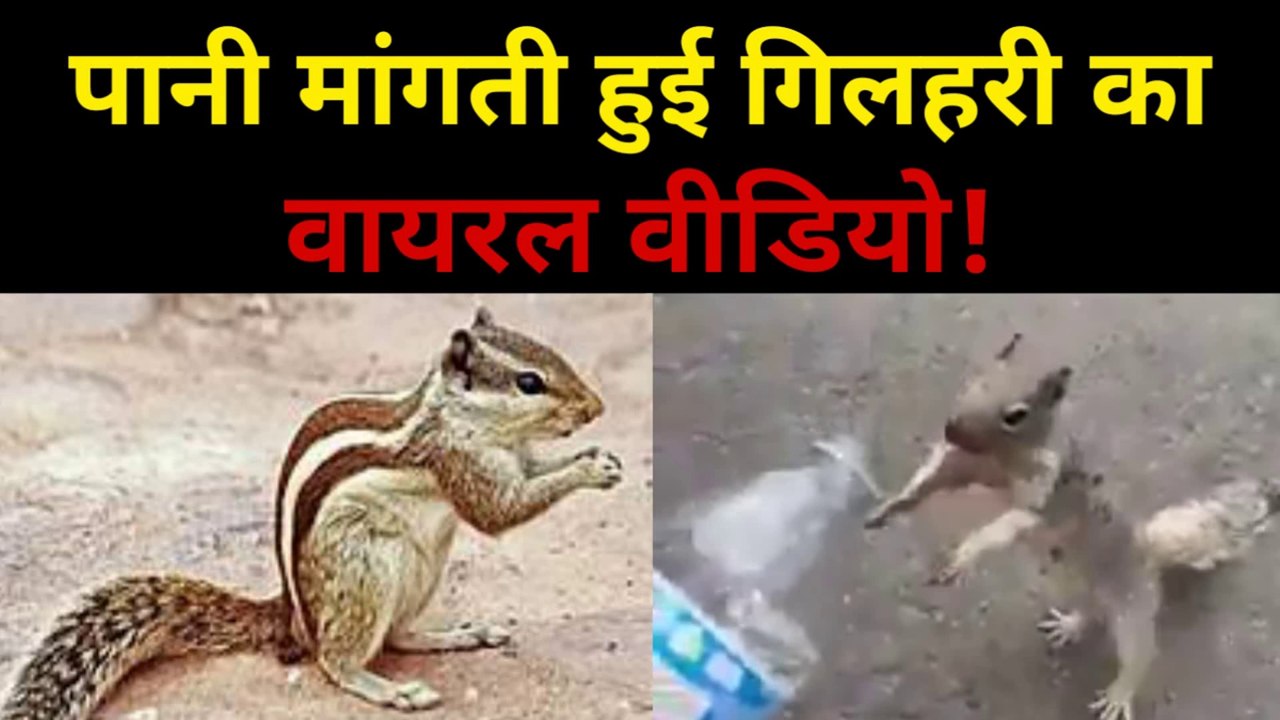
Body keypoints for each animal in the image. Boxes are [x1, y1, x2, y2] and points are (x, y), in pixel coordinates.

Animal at [2, 306, 624, 720]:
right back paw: (388, 689)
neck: (461, 416)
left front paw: (598, 458)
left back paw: (455, 635)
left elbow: (528, 479)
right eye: (529, 382)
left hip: (422, 567)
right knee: (334, 659)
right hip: (365, 568)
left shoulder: (510, 457)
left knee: (398, 636)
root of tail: (290, 616)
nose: (596, 408)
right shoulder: (458, 462)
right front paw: (590, 470)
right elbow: (499, 512)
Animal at [866, 333, 1280, 720]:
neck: (1003, 460)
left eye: (1016, 415)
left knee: (1140, 649)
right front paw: (892, 506)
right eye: (976, 379)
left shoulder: (1047, 494)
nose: (951, 428)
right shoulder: (961, 464)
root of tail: (1145, 548)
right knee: (1090, 610)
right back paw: (1071, 625)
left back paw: (1119, 694)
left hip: (1132, 599)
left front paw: (966, 555)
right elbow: (933, 480)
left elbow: (1010, 523)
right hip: (1072, 583)